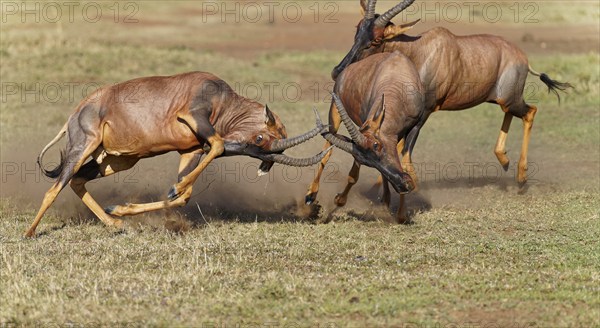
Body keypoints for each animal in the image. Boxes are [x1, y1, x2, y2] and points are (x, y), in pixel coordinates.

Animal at [27, 70, 328, 237]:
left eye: (261, 154)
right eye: (260, 138)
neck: (222, 97)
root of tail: (78, 110)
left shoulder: (191, 149)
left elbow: (186, 194)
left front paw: (129, 205)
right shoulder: (194, 116)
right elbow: (216, 146)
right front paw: (175, 187)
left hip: (116, 160)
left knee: (78, 180)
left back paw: (115, 222)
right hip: (84, 146)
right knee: (54, 188)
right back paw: (29, 233)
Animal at [308, 52, 424, 223]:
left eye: (377, 145)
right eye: (365, 161)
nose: (404, 185)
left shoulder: (414, 127)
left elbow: (403, 161)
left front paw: (401, 214)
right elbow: (353, 176)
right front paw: (339, 200)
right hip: (334, 111)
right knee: (327, 150)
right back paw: (310, 195)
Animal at [332, 0, 572, 193]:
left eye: (376, 40)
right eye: (357, 30)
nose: (337, 71)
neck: (421, 51)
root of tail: (523, 58)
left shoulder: (424, 112)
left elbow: (403, 148)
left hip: (511, 100)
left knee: (530, 112)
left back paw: (521, 178)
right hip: (502, 100)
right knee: (512, 114)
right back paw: (504, 159)